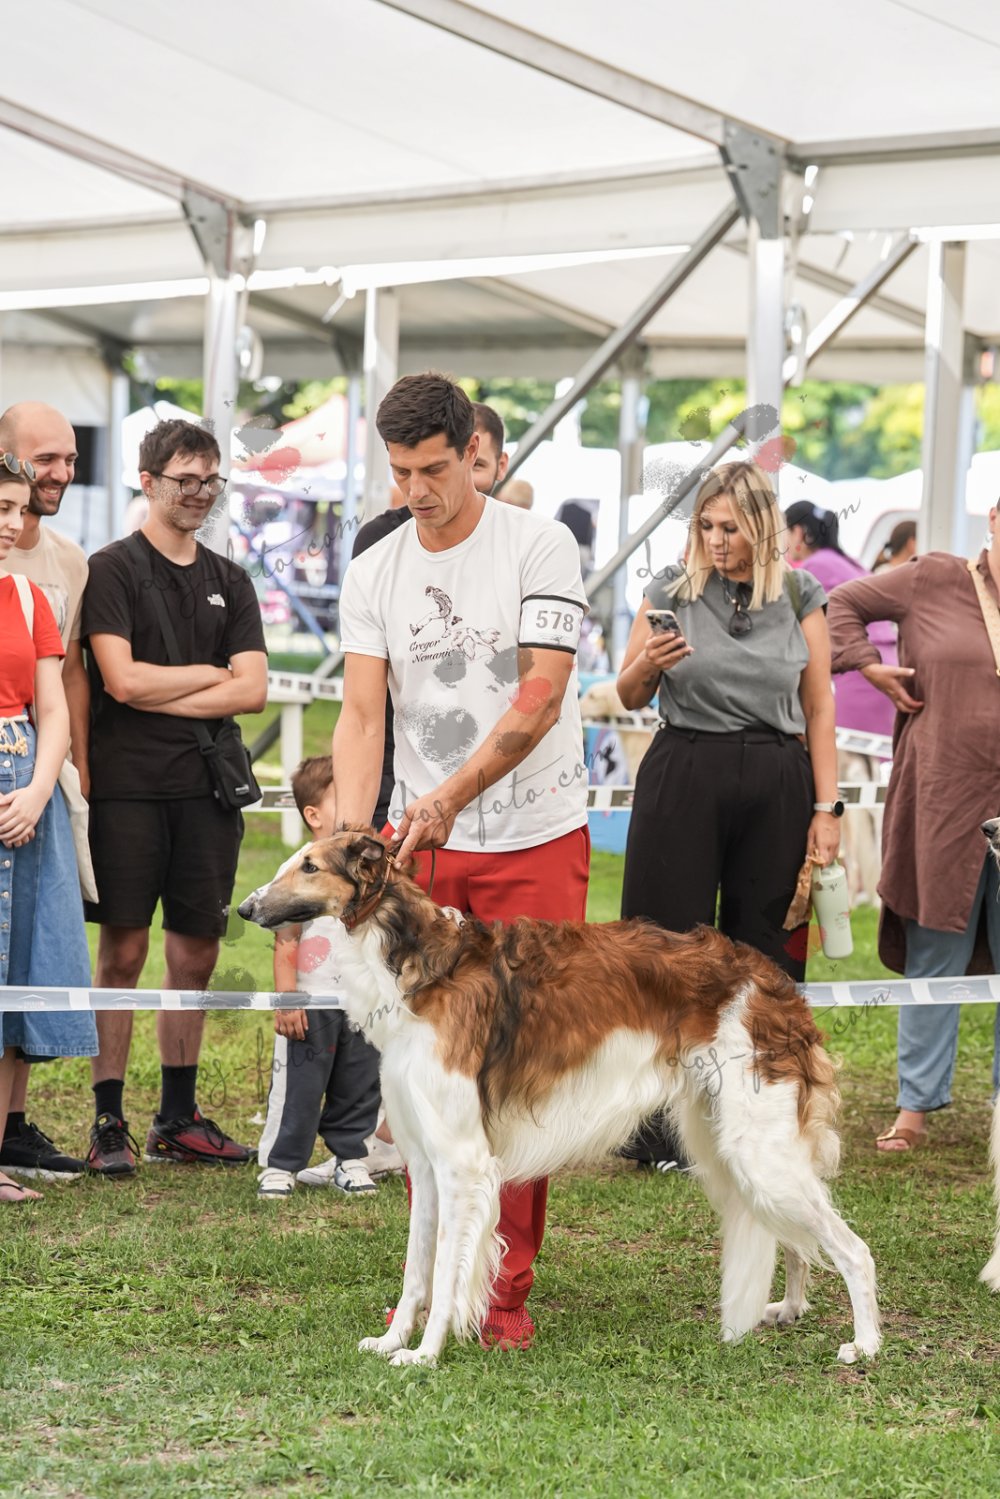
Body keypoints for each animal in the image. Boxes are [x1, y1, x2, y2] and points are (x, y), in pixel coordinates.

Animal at [239, 830, 880, 1368]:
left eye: (310, 866)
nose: (245, 909)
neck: (420, 967)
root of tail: (777, 985)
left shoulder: (463, 1162)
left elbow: (446, 1274)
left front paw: (424, 1355)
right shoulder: (424, 1159)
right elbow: (417, 1270)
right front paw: (394, 1340)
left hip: (757, 1148)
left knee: (853, 1249)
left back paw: (866, 1344)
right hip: (729, 1146)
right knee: (795, 1236)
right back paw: (789, 1309)